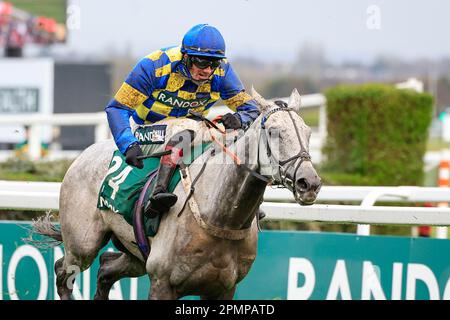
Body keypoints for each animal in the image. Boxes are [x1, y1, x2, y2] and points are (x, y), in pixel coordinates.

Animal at [32, 88, 320, 300]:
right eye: (274, 132)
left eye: (308, 132)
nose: (310, 183)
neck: (219, 216)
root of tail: (82, 155)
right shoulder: (162, 283)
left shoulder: (225, 289)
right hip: (82, 245)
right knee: (63, 272)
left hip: (136, 254)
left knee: (105, 268)